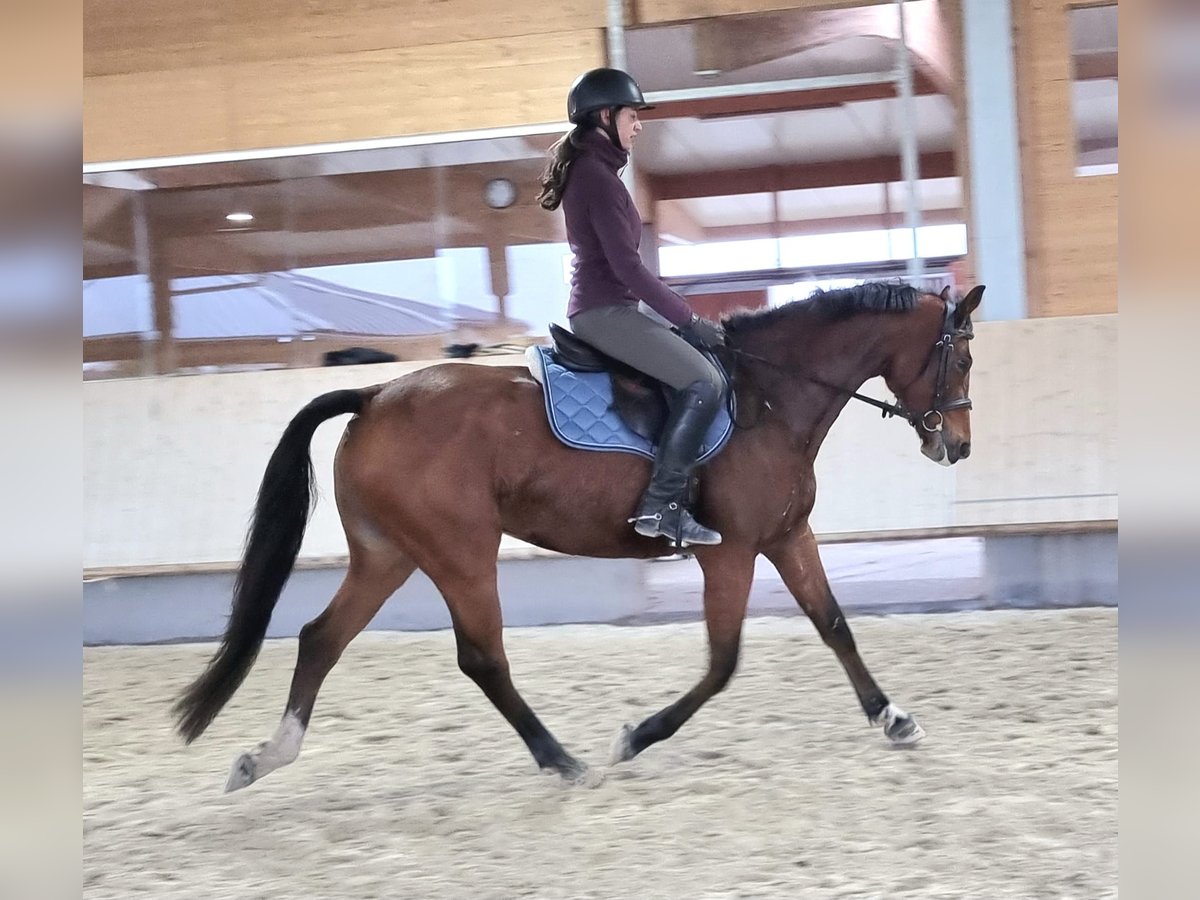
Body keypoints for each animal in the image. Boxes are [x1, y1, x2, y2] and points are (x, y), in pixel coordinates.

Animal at [172, 280, 983, 792]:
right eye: (966, 357)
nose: (959, 447)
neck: (769, 397)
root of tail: (374, 395)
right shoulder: (731, 552)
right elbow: (723, 662)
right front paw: (636, 737)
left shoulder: (787, 537)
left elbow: (835, 624)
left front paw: (893, 718)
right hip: (460, 553)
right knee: (481, 658)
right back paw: (562, 761)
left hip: (388, 554)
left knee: (321, 639)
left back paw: (266, 757)